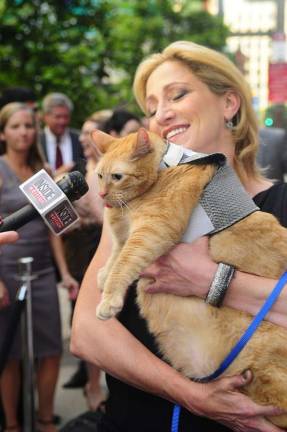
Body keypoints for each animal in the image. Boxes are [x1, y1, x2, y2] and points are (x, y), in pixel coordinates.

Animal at [93, 126, 287, 426]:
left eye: (117, 176)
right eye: (99, 176)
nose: (101, 195)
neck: (165, 167)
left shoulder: (152, 231)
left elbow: (125, 260)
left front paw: (109, 298)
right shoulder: (125, 232)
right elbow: (116, 252)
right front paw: (104, 276)